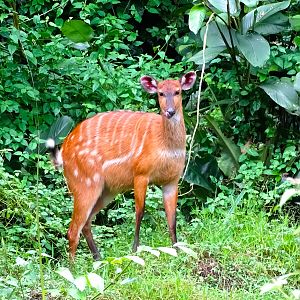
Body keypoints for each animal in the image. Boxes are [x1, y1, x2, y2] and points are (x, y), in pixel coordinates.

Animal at [46, 71, 197, 260]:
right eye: (161, 93)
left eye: (177, 91)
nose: (170, 111)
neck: (165, 145)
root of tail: (63, 152)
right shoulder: (140, 173)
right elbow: (140, 211)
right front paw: (134, 250)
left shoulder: (172, 180)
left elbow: (172, 218)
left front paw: (176, 250)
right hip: (84, 184)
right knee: (73, 229)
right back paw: (73, 266)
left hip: (106, 190)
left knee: (86, 222)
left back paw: (98, 258)